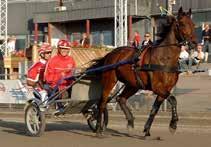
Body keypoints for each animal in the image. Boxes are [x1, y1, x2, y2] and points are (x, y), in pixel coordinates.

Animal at [88, 7, 196, 137]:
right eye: (182, 24)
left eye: (193, 24)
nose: (194, 43)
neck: (164, 58)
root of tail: (111, 54)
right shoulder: (157, 87)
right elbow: (173, 100)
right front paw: (173, 125)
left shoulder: (165, 89)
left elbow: (154, 109)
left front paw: (147, 129)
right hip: (110, 81)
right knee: (102, 103)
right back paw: (98, 128)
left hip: (133, 84)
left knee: (120, 99)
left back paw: (130, 122)